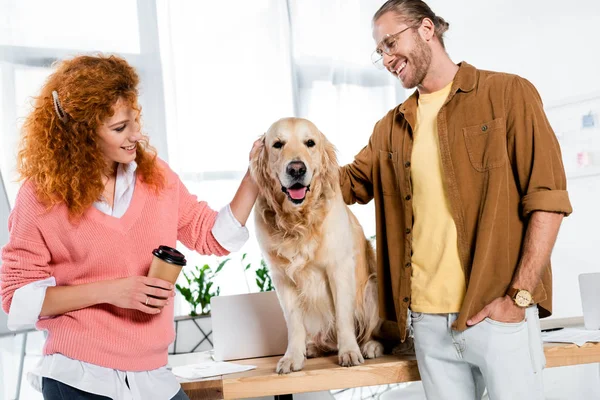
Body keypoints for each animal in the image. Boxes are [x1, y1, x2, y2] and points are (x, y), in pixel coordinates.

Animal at [250, 117, 384, 374]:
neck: (298, 221)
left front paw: (349, 351)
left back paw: (370, 345)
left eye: (310, 143)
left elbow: (343, 317)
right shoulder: (282, 278)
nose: (296, 169)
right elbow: (294, 323)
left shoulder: (339, 268)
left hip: (372, 287)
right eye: (278, 144)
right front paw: (292, 357)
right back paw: (312, 347)